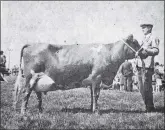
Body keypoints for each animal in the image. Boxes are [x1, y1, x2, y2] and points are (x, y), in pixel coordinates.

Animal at [13, 34, 141, 114]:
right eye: (135, 42)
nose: (144, 52)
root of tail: (31, 44)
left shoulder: (92, 81)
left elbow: (92, 95)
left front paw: (91, 109)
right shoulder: (97, 77)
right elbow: (96, 95)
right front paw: (96, 111)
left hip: (38, 79)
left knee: (37, 95)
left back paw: (40, 110)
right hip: (30, 78)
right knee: (26, 94)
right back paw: (24, 113)